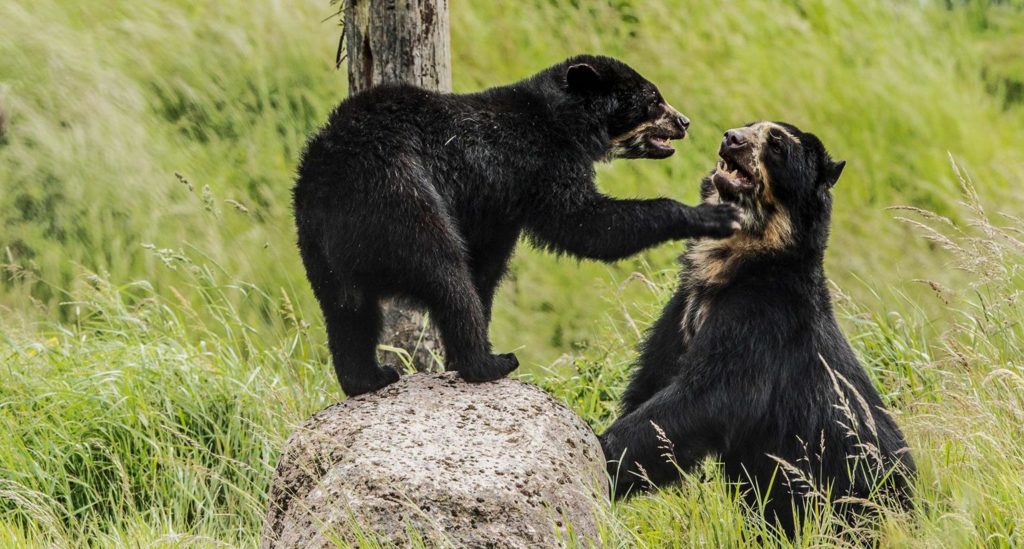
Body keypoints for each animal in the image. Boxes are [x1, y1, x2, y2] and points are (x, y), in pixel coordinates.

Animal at [292, 55, 741, 397]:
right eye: (652, 98)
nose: (684, 121)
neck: (565, 122)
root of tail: (331, 175)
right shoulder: (538, 164)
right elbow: (585, 223)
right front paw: (710, 215)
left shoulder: (497, 206)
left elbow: (489, 266)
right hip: (401, 198)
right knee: (444, 274)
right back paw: (488, 362)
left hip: (316, 242)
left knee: (348, 310)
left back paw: (367, 377)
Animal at [598, 121, 917, 536]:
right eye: (750, 126)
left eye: (776, 144)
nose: (731, 138)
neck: (736, 261)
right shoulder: (680, 313)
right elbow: (651, 381)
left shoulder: (763, 320)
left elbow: (709, 396)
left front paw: (602, 452)